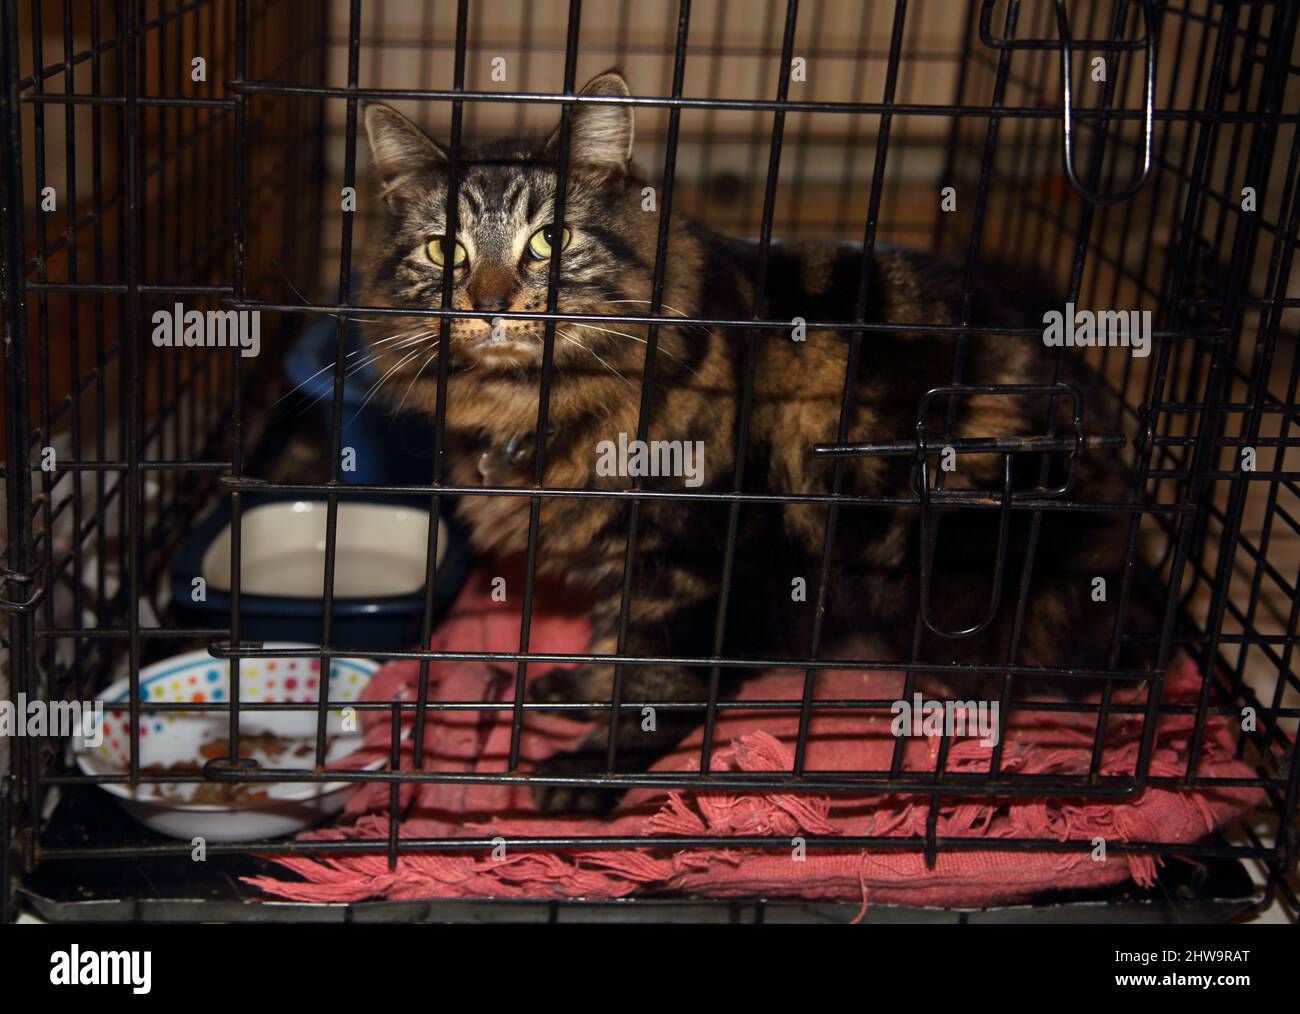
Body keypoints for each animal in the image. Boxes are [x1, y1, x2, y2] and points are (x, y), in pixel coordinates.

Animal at [358, 69, 1159, 816]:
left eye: (551, 241)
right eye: (445, 251)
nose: (491, 304)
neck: (538, 404)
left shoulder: (704, 559)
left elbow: (654, 683)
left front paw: (588, 771)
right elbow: (609, 641)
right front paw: (578, 686)